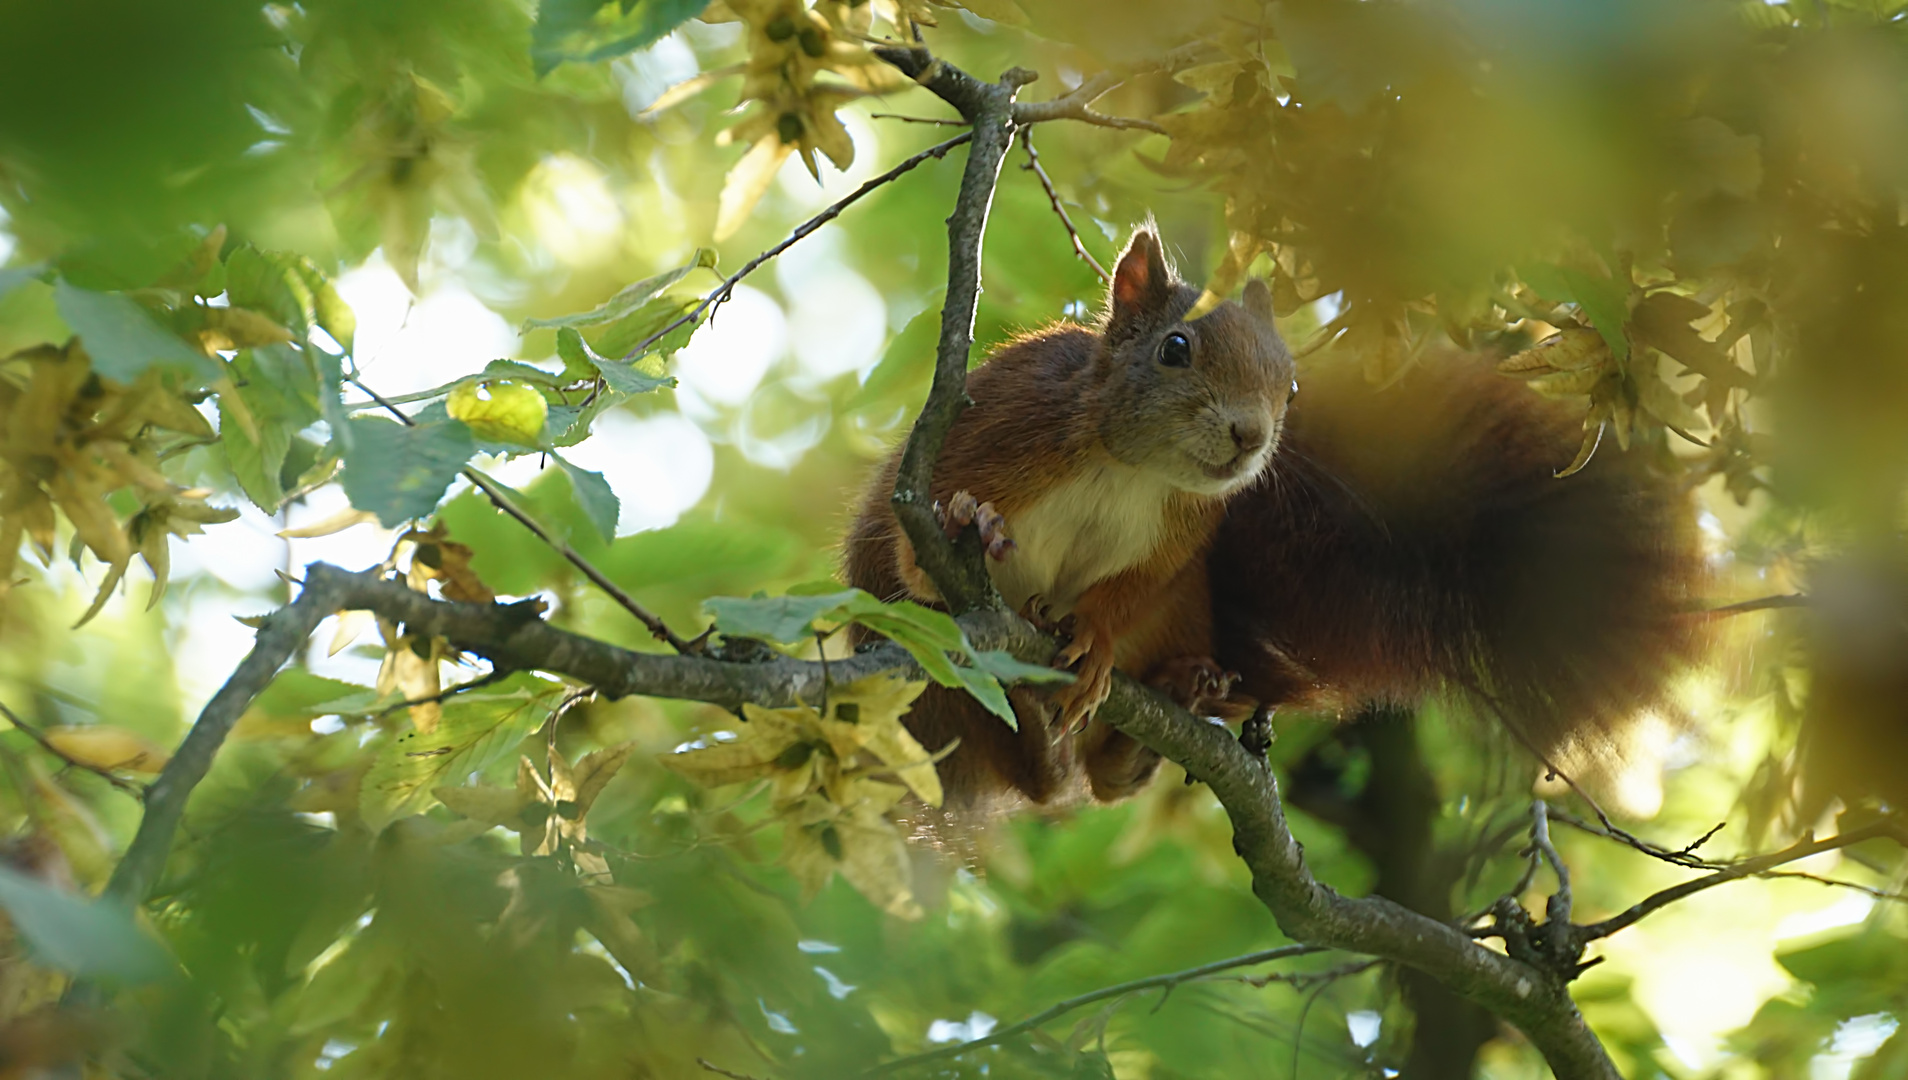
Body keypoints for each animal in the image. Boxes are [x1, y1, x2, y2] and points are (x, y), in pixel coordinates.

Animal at [843, 230, 1709, 820]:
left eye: (1289, 387)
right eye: (1176, 348)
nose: (1250, 436)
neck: (1130, 467)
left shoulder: (1184, 531)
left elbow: (1135, 585)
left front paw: (1095, 639)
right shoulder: (1000, 428)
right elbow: (921, 531)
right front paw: (974, 523)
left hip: (1185, 613)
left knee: (1105, 774)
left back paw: (1164, 708)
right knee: (1035, 766)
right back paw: (1040, 736)